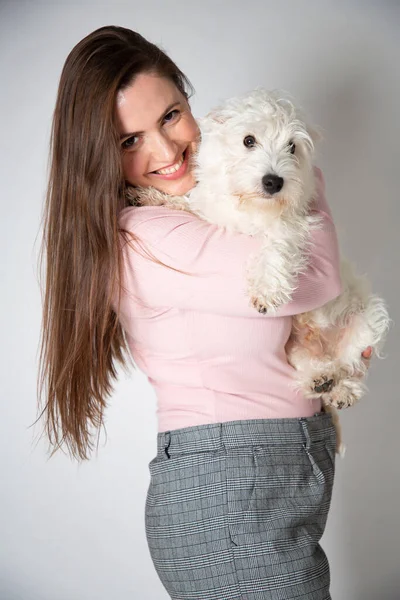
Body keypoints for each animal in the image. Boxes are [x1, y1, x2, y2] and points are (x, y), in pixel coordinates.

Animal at [129, 88, 390, 454]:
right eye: (248, 140)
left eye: (292, 146)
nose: (274, 182)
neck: (251, 208)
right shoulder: (213, 216)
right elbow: (191, 206)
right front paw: (148, 195)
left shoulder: (295, 224)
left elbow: (276, 243)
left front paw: (267, 289)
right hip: (294, 346)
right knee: (314, 366)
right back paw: (319, 379)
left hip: (368, 321)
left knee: (350, 365)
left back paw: (340, 388)